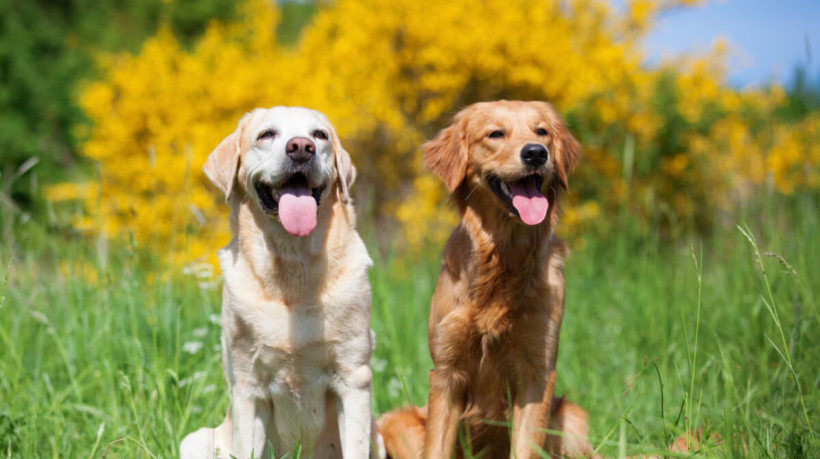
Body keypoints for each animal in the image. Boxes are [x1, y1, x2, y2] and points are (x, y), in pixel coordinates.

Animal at [180, 106, 384, 458]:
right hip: (196, 440)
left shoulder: (354, 378)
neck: (293, 265)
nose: (301, 147)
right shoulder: (248, 386)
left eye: (320, 135)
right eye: (266, 134)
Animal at [382, 101, 592, 459]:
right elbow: (436, 448)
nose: (535, 153)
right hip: (397, 421)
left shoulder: (537, 373)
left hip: (573, 420)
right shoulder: (446, 373)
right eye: (495, 134)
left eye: (542, 132)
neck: (504, 258)